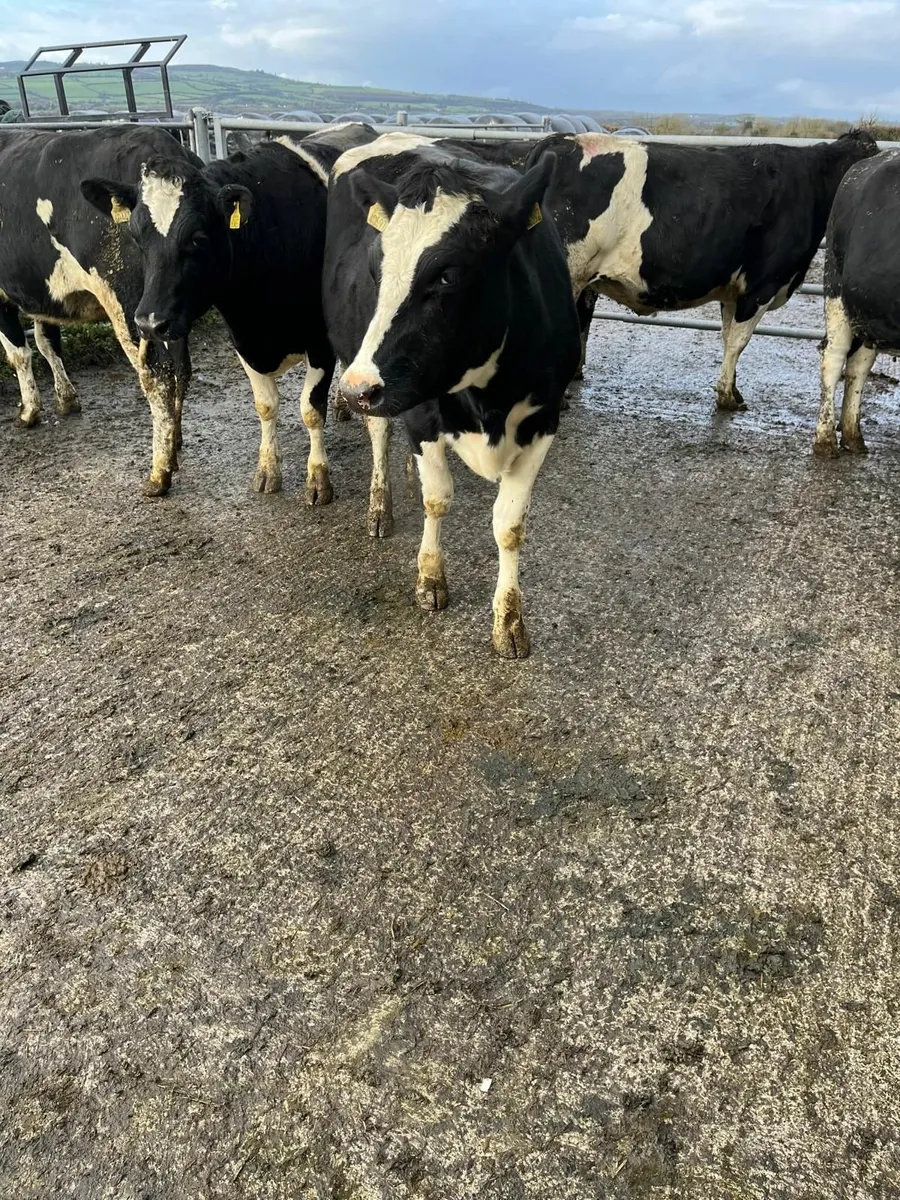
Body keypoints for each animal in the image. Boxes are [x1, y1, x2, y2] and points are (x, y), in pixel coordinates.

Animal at [0, 125, 199, 487]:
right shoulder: (45, 294)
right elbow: (48, 343)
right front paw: (66, 400)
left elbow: (19, 353)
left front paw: (29, 411)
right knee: (180, 368)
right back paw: (174, 442)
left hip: (131, 305)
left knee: (158, 376)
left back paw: (159, 472)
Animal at [81, 123, 379, 504]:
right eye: (136, 236)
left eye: (197, 237)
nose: (149, 323)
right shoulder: (242, 338)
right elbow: (265, 405)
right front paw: (267, 470)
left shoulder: (318, 340)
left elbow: (310, 411)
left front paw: (317, 480)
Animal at [323, 132, 581, 658]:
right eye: (377, 270)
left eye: (446, 275)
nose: (356, 389)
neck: (488, 399)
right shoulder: (420, 411)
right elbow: (437, 498)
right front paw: (430, 579)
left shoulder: (544, 418)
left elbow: (510, 524)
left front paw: (510, 621)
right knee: (380, 435)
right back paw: (380, 506)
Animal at [521, 129, 879, 409]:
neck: (811, 185)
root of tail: (558, 141)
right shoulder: (761, 286)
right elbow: (738, 342)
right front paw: (726, 399)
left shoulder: (735, 291)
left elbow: (727, 336)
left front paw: (731, 391)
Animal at [814, 150, 900, 457]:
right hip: (835, 291)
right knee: (833, 357)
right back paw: (825, 439)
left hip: (867, 314)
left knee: (858, 368)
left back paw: (852, 435)